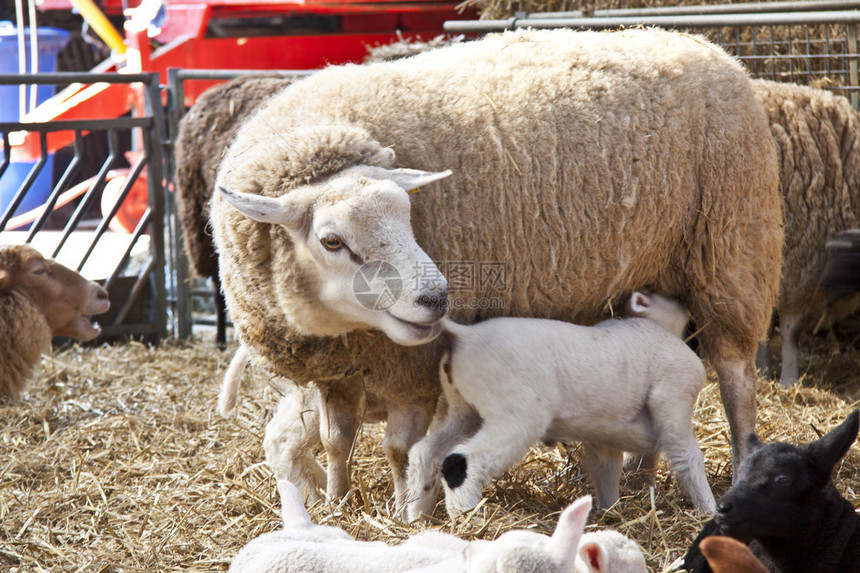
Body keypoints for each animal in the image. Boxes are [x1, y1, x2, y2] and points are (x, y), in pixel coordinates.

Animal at [406, 290, 716, 520]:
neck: (652, 327)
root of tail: (465, 335)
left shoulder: (604, 439)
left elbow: (606, 470)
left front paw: (609, 513)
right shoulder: (674, 394)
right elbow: (687, 458)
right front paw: (710, 512)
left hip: (464, 410)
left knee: (425, 453)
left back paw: (417, 517)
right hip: (517, 416)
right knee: (461, 461)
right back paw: (469, 519)